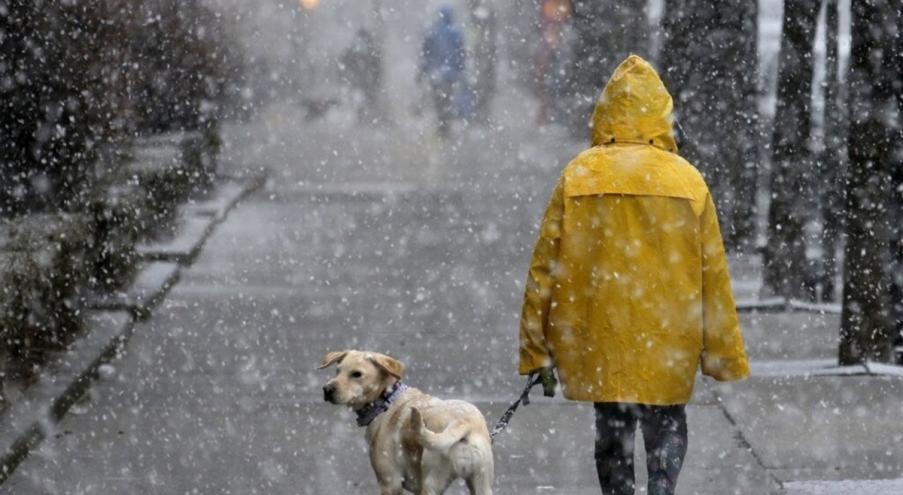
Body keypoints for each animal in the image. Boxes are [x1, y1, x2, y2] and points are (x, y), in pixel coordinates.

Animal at [322, 350, 498, 494]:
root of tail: (463, 422)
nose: (326, 390)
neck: (386, 400)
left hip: (430, 485)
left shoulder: (390, 483)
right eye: (337, 371)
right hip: (482, 485)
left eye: (357, 374)